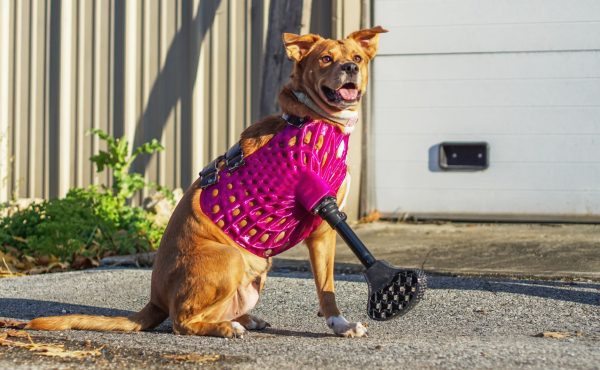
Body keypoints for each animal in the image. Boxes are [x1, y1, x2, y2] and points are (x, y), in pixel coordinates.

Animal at [25, 26, 386, 338]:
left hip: (256, 269)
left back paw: (243, 319)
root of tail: (155, 298)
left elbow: (326, 286)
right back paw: (227, 328)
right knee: (182, 321)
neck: (313, 119)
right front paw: (340, 325)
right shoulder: (324, 224)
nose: (350, 68)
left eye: (357, 56)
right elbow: (327, 289)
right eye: (325, 58)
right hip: (229, 258)